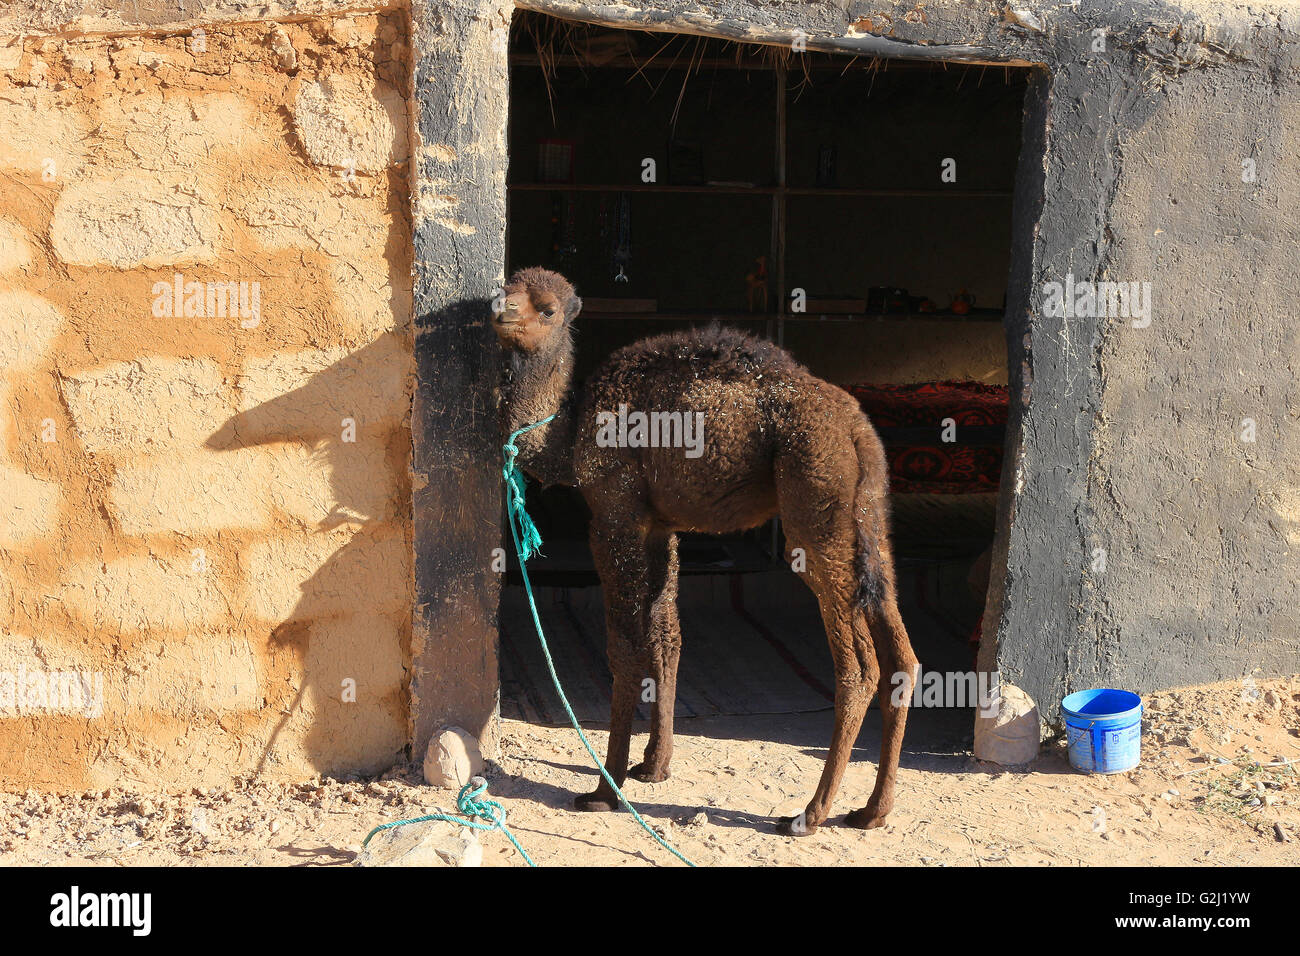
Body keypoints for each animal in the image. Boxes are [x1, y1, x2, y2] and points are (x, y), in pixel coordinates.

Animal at [491, 265, 920, 832]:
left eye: (548, 310)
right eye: (509, 285)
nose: (499, 309)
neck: (572, 431)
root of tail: (856, 429)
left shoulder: (615, 515)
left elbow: (626, 648)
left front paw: (606, 789)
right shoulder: (659, 527)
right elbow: (666, 636)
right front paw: (654, 766)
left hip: (815, 499)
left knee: (859, 668)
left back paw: (810, 812)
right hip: (869, 519)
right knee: (900, 651)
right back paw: (872, 810)